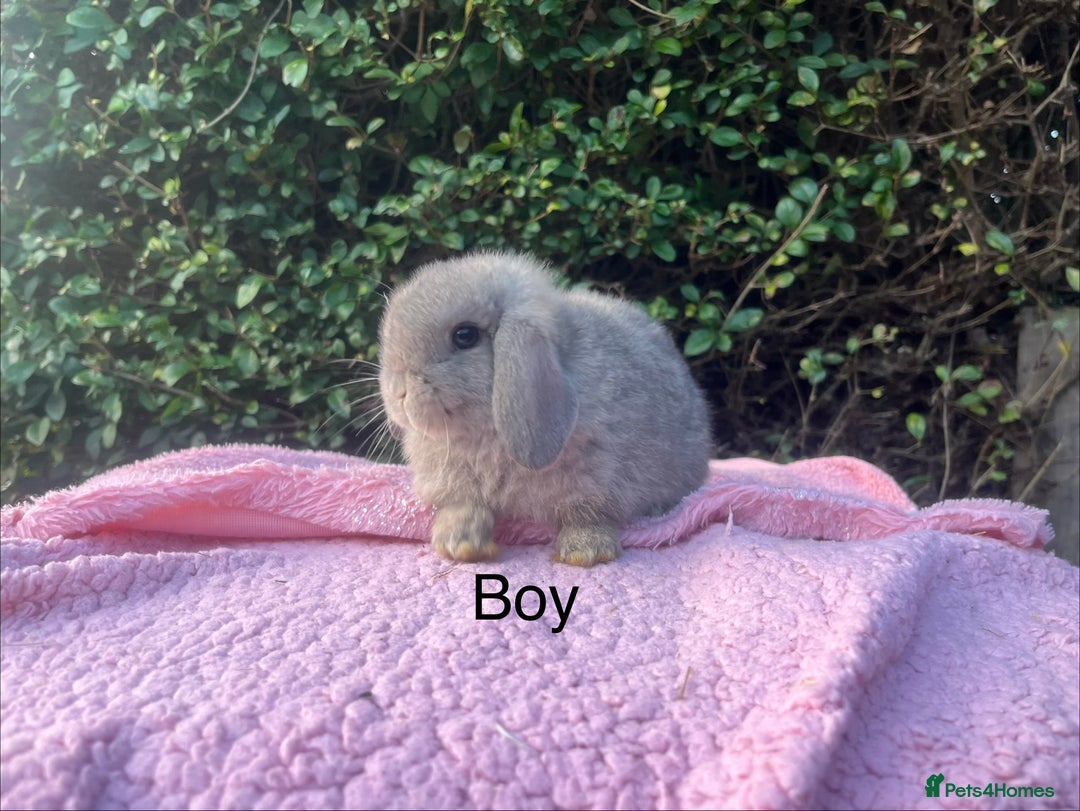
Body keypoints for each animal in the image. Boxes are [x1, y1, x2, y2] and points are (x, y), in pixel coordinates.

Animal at [378, 251, 711, 567]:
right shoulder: (456, 484)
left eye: (465, 335)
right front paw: (458, 545)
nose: (399, 392)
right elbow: (463, 507)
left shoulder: (598, 480)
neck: (487, 434)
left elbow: (588, 514)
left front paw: (585, 552)